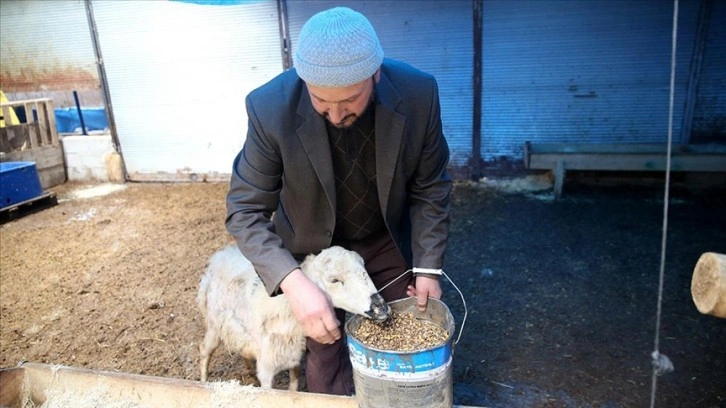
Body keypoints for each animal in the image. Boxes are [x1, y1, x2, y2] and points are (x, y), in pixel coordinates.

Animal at [195, 244, 392, 390]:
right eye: (335, 280)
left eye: (364, 268)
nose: (381, 307)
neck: (288, 305)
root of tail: (221, 255)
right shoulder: (267, 367)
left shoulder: (294, 354)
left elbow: (294, 386)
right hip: (214, 325)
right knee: (204, 350)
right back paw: (203, 381)